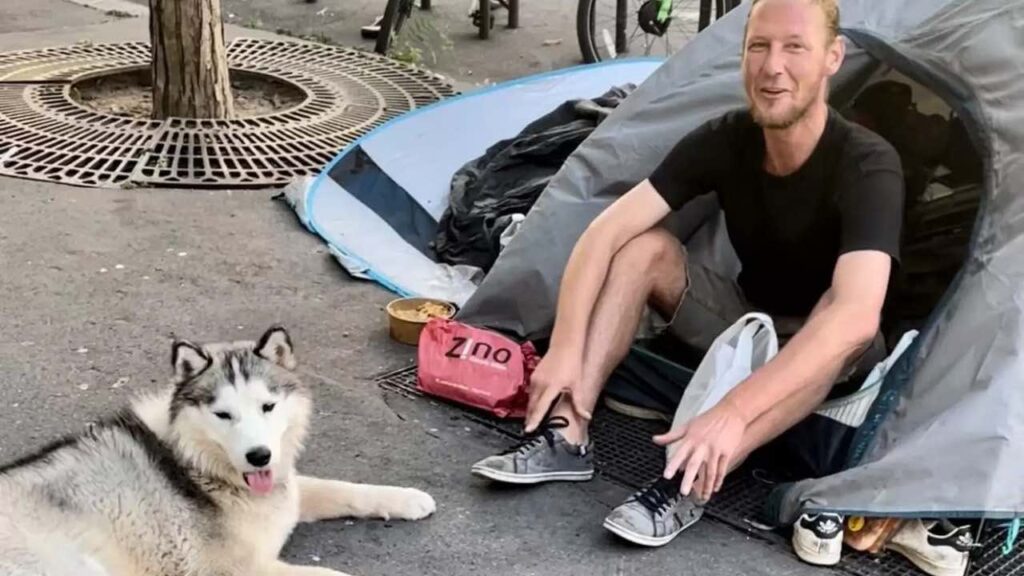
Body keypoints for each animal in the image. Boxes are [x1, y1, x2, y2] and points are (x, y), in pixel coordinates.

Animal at [0, 325, 436, 573]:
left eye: (268, 406)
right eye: (223, 414)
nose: (259, 456)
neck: (198, 466)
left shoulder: (285, 490)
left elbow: (344, 489)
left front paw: (407, 498)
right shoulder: (239, 569)